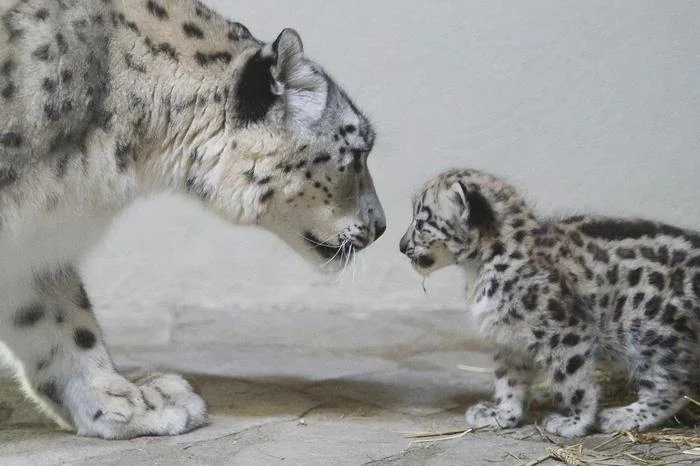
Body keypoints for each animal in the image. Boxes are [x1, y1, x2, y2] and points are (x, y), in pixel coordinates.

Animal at [400, 168, 699, 437]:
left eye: (421, 222)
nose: (401, 246)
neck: (477, 271)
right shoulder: (508, 338)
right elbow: (509, 378)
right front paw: (502, 413)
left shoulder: (566, 334)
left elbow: (573, 382)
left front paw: (576, 421)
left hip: (655, 334)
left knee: (672, 386)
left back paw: (623, 416)